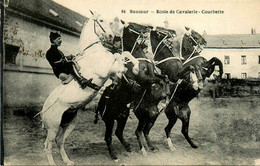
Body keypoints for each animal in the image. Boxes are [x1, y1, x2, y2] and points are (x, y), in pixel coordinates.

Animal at [37, 13, 139, 165]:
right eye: (101, 20)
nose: (111, 35)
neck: (93, 51)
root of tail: (43, 111)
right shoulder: (106, 68)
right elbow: (118, 56)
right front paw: (129, 69)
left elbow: (124, 54)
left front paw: (135, 66)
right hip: (53, 127)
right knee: (47, 146)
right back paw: (53, 163)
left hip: (69, 123)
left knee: (59, 141)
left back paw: (68, 161)